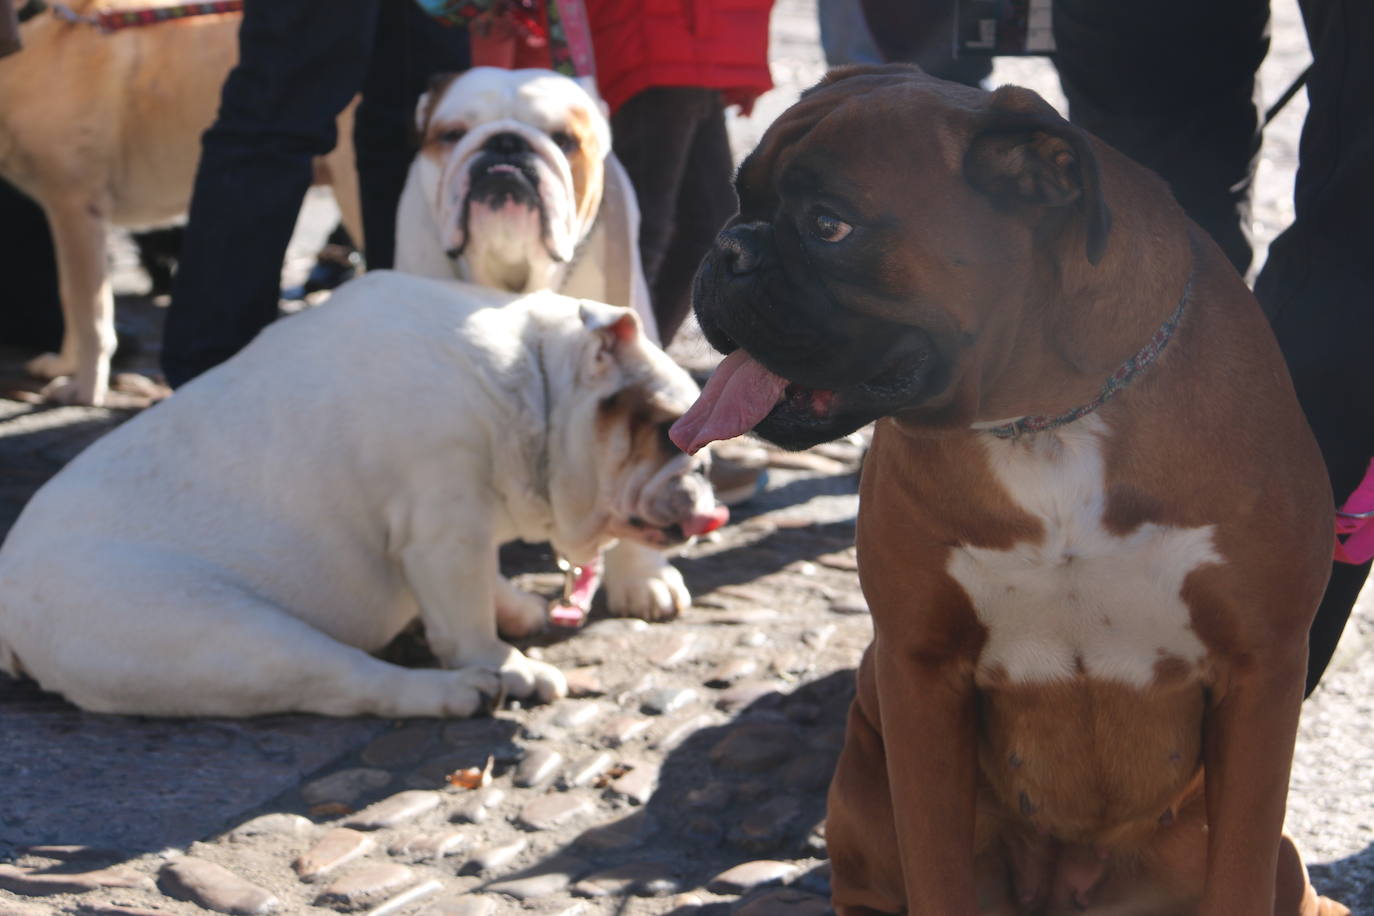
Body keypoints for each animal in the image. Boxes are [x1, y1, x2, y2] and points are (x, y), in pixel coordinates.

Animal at [670, 66, 1346, 916]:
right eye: (740, 196)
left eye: (830, 225)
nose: (728, 247)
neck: (1045, 421)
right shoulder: (919, 672)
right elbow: (936, 867)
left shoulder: (1261, 674)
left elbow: (1239, 872)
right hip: (864, 776)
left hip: (1278, 858)